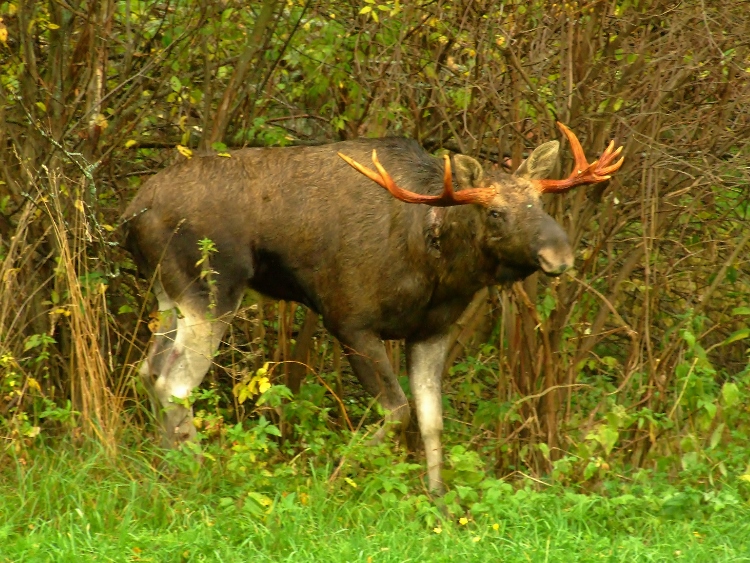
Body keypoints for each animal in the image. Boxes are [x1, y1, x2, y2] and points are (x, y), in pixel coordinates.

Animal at [123, 123, 624, 494]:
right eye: (495, 213)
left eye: (539, 201)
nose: (560, 254)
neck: (435, 264)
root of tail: (131, 213)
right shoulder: (349, 319)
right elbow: (397, 411)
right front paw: (336, 480)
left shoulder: (432, 330)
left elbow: (432, 420)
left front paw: (439, 502)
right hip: (212, 287)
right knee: (174, 383)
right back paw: (196, 472)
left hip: (169, 295)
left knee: (149, 371)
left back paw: (163, 467)